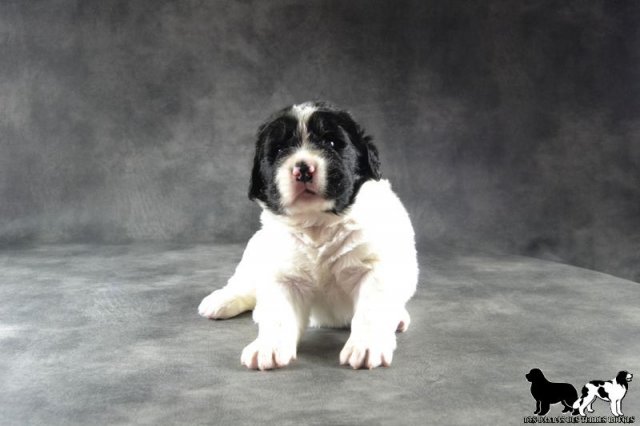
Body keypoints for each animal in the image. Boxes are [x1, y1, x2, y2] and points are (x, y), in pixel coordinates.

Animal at [198, 101, 418, 370]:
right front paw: (267, 347)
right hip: (256, 249)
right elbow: (278, 315)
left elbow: (371, 310)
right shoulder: (282, 274)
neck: (318, 224)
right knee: (244, 283)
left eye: (332, 143)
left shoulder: (376, 268)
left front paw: (366, 346)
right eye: (279, 149)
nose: (302, 170)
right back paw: (221, 300)